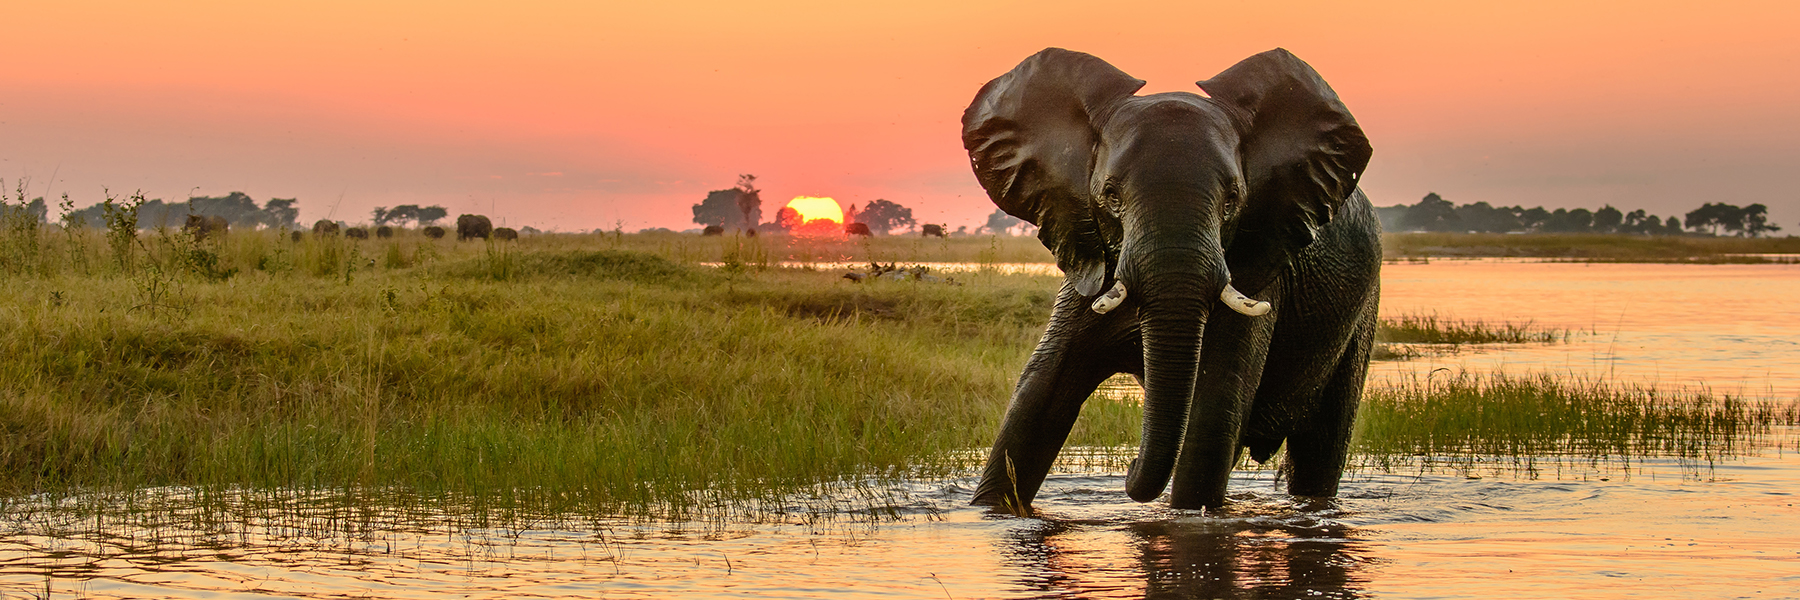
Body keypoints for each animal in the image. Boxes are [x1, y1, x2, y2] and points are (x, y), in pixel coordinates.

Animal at [962, 48, 1379, 511]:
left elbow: (1213, 412)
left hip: (1362, 313)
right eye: (1110, 195)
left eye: (1232, 200)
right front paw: (991, 512)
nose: (1127, 469)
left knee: (1321, 448)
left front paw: (1185, 514)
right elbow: (1038, 396)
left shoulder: (1258, 272)